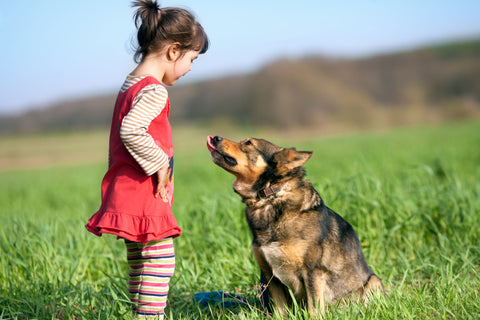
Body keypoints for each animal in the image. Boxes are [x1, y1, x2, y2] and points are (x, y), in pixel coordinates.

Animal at [206, 134, 382, 316]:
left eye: (248, 143)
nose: (216, 137)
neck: (270, 198)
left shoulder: (312, 271)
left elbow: (314, 310)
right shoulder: (269, 275)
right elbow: (280, 312)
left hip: (373, 282)